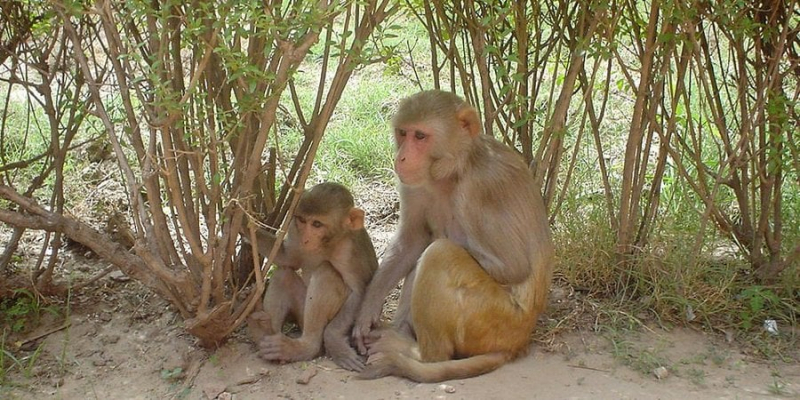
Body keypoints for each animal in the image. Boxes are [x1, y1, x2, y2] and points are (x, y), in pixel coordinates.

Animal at [247, 183, 378, 370]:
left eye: (317, 224)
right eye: (302, 220)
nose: (306, 239)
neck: (327, 243)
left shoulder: (350, 250)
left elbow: (360, 292)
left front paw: (335, 343)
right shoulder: (294, 229)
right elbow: (288, 258)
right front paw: (241, 222)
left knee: (325, 272)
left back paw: (305, 347)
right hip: (300, 315)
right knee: (284, 274)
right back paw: (263, 333)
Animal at [354, 90, 552, 382]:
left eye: (420, 136)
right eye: (403, 133)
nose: (401, 158)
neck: (455, 169)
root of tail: (518, 342)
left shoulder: (481, 188)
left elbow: (513, 266)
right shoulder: (414, 184)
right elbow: (412, 241)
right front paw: (366, 311)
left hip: (494, 319)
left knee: (439, 252)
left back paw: (420, 354)